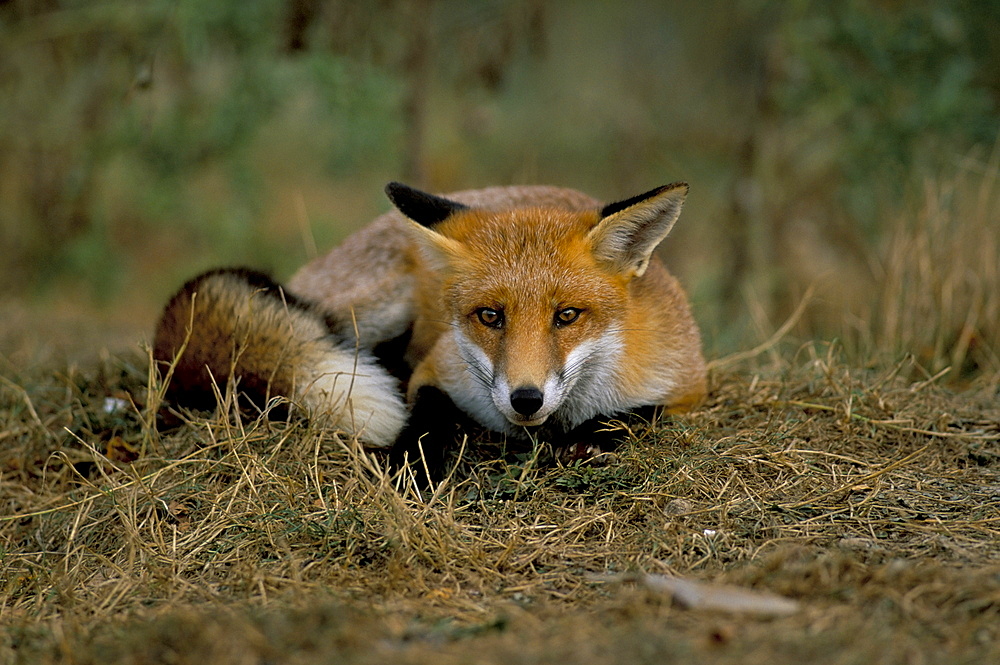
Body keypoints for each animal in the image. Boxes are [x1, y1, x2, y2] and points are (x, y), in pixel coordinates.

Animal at [152, 179, 708, 464]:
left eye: (567, 316)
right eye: (490, 316)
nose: (525, 398)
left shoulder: (689, 386)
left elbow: (640, 413)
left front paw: (594, 436)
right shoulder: (434, 371)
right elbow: (425, 413)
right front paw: (413, 464)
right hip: (372, 311)